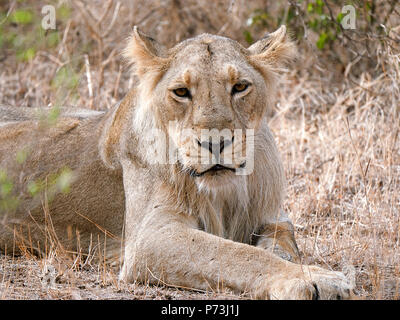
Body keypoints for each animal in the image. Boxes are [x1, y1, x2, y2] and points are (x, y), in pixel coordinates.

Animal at [0, 26, 354, 298]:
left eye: (240, 86)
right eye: (181, 92)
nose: (215, 143)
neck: (225, 191)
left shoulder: (273, 217)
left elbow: (281, 246)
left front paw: (299, 267)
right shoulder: (149, 239)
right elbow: (239, 254)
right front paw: (314, 279)